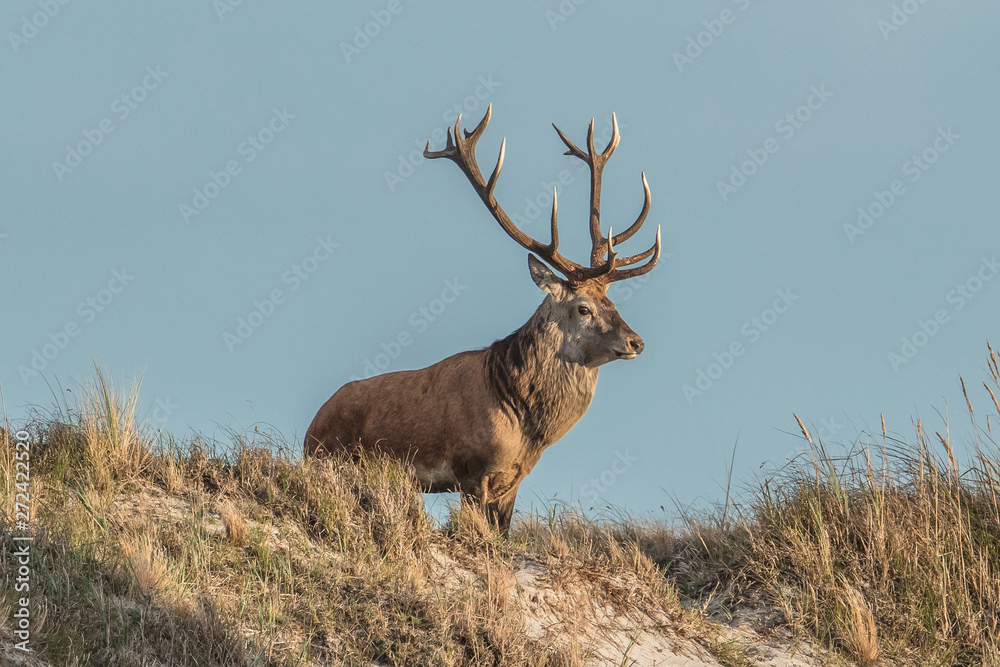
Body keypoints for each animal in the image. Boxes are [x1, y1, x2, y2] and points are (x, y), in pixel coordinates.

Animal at [304, 105, 660, 533]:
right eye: (583, 307)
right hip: (333, 460)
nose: (636, 341)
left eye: (612, 301)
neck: (523, 427)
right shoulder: (472, 470)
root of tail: (309, 429)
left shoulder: (513, 480)